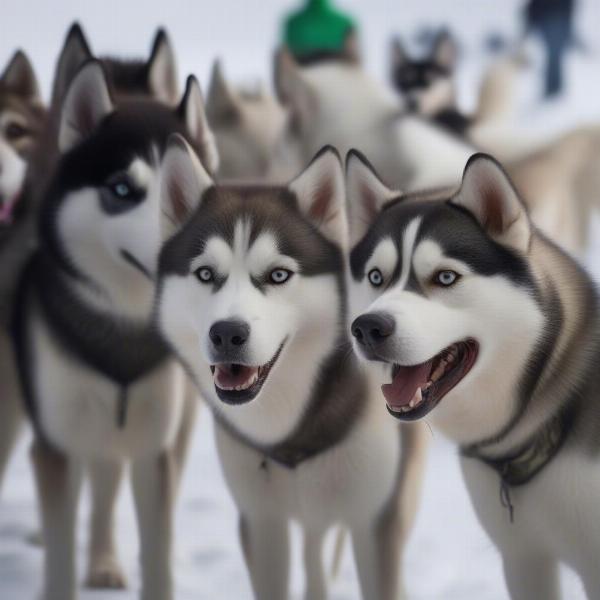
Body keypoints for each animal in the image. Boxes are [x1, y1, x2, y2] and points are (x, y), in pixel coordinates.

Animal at [12, 62, 218, 600]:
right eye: (123, 190)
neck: (124, 329)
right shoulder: (57, 443)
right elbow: (60, 558)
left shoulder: (153, 447)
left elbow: (158, 555)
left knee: (105, 487)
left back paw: (104, 562)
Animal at [155, 137, 426, 600]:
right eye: (205, 273)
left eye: (278, 275)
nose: (227, 334)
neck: (290, 433)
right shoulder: (263, 523)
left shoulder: (375, 521)